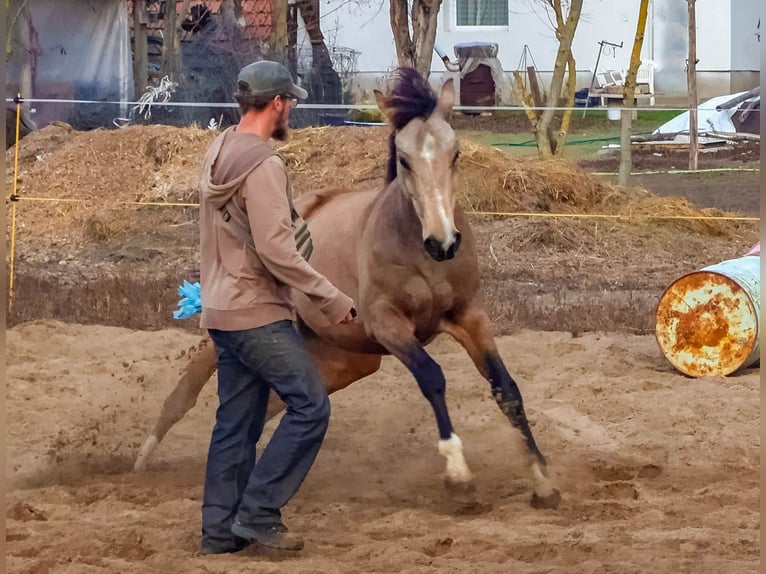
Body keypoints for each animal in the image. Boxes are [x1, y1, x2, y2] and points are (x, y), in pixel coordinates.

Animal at [134, 68, 561, 509]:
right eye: (404, 160)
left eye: (455, 153)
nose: (443, 242)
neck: (418, 253)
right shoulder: (387, 324)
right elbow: (432, 377)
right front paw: (458, 473)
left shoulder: (469, 316)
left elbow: (506, 388)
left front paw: (542, 480)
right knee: (190, 387)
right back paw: (144, 459)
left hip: (346, 359)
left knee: (274, 405)